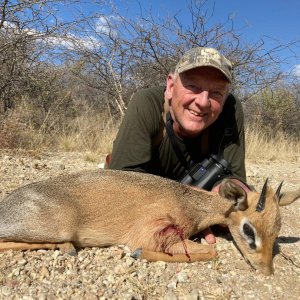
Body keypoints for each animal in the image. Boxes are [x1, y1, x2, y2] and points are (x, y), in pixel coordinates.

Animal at [0, 169, 298, 274]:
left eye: (278, 230)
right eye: (248, 229)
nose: (267, 270)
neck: (189, 203)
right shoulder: (153, 232)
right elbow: (212, 251)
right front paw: (138, 253)